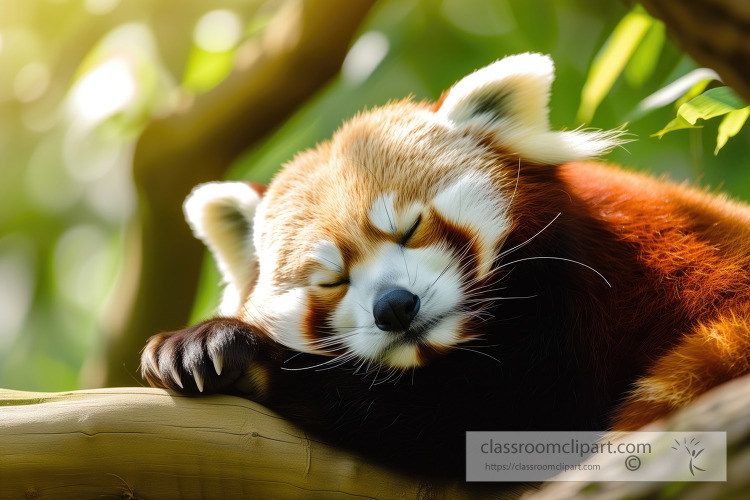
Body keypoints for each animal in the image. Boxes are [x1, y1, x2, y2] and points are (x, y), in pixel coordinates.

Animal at [141, 52, 750, 474]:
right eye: (333, 280)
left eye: (410, 228)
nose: (394, 307)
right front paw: (197, 346)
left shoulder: (583, 305)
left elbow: (494, 417)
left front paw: (245, 354)